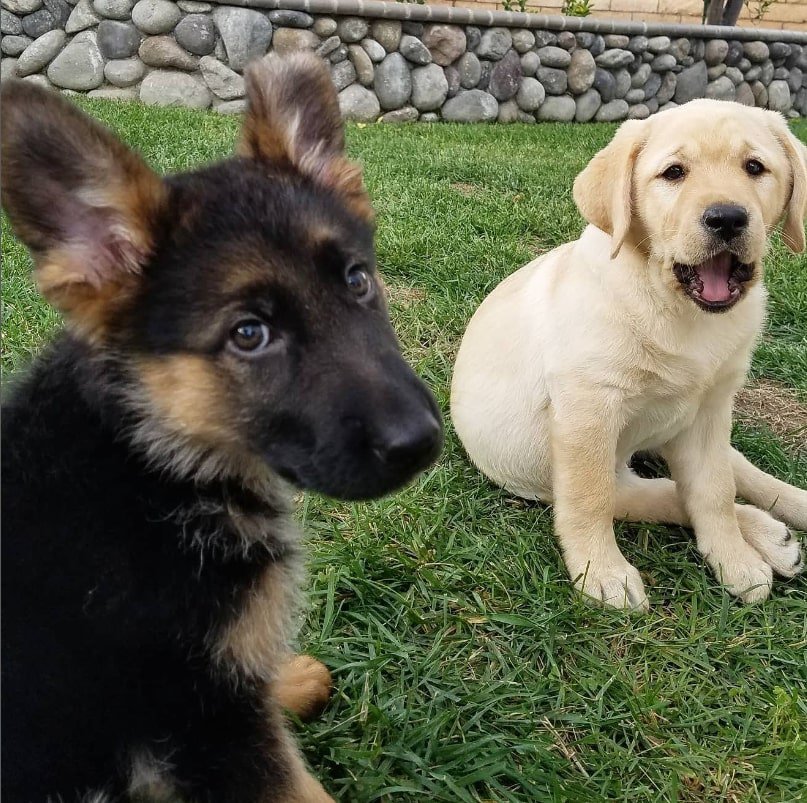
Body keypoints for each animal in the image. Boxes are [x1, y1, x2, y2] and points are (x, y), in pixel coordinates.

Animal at [0, 53, 442, 800]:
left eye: (357, 281)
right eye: (249, 334)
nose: (423, 443)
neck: (151, 459)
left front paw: (288, 676)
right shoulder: (204, 720)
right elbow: (297, 783)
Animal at [454, 102, 807, 616]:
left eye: (755, 167)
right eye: (674, 172)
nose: (727, 219)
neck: (676, 309)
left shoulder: (710, 409)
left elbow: (714, 490)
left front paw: (734, 559)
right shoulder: (588, 411)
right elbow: (591, 499)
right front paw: (601, 573)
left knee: (730, 470)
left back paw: (788, 513)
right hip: (573, 472)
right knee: (658, 495)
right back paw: (769, 534)